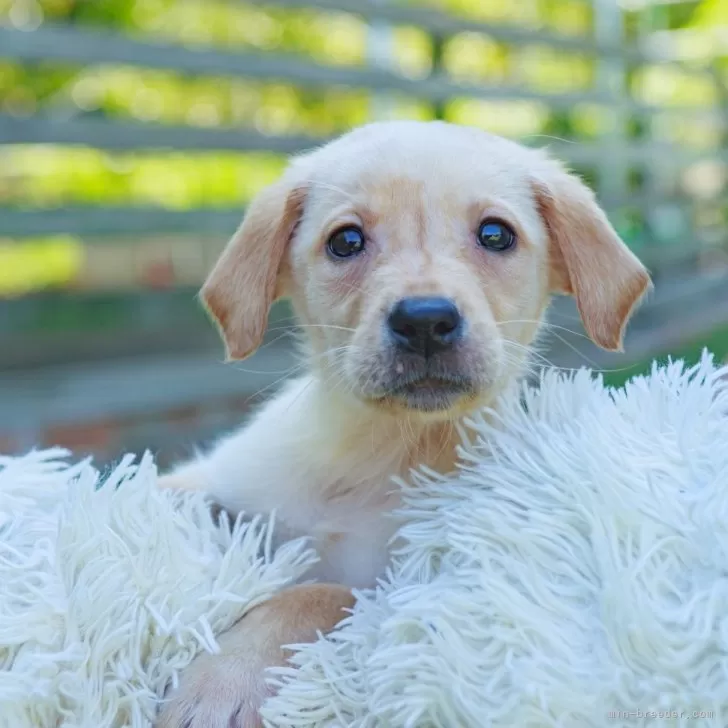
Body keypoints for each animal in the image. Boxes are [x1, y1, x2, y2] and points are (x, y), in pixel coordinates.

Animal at [154, 121, 648, 728]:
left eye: (495, 234)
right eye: (345, 241)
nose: (425, 321)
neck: (379, 454)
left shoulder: (390, 591)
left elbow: (316, 592)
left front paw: (225, 679)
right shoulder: (223, 480)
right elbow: (162, 491)